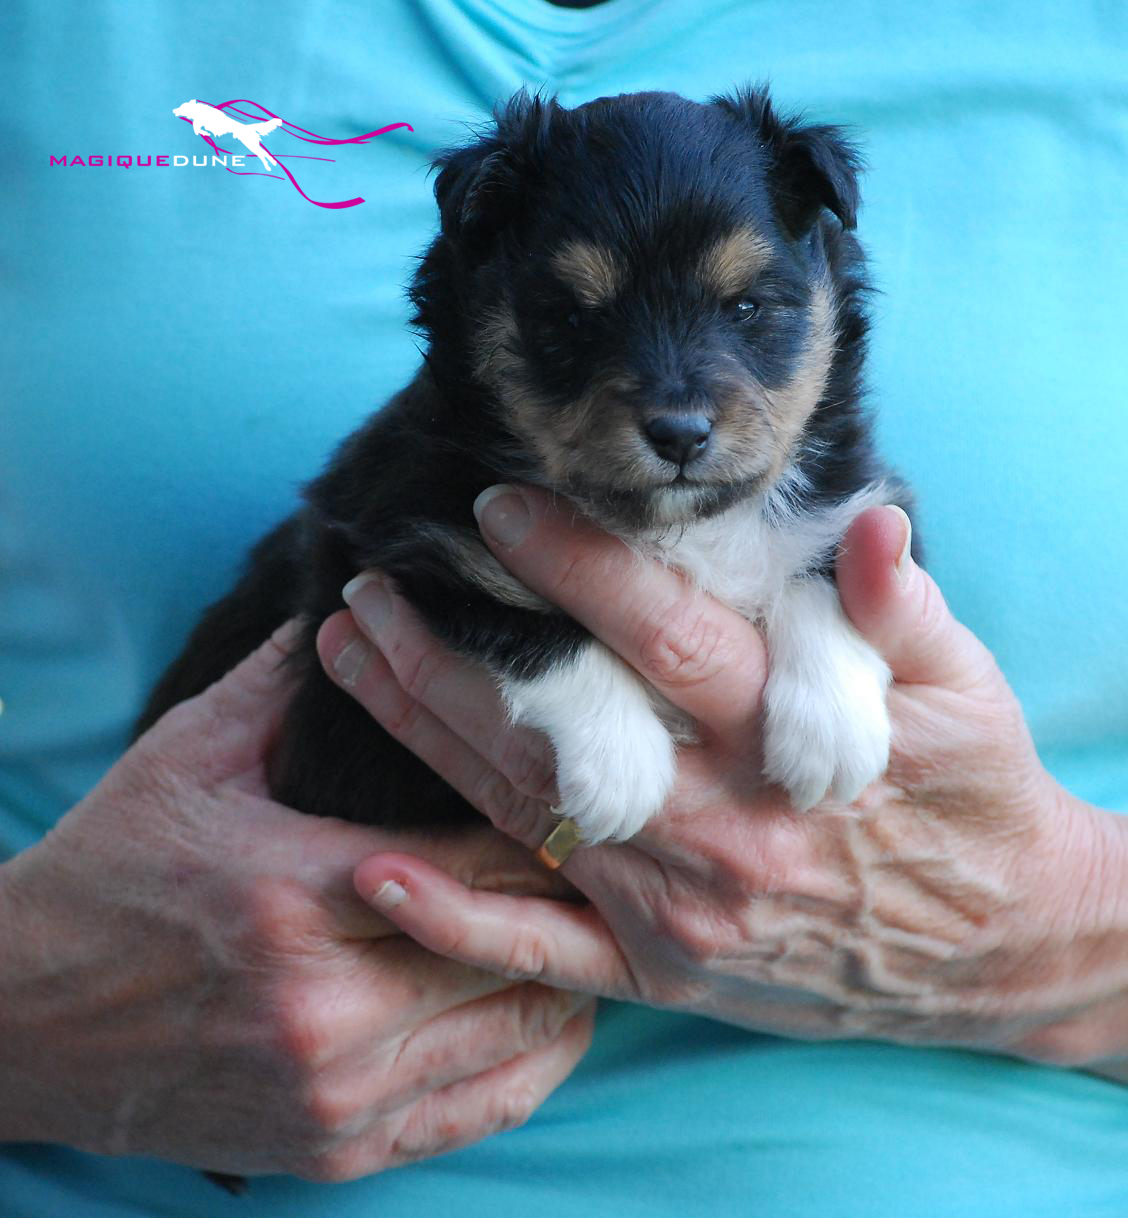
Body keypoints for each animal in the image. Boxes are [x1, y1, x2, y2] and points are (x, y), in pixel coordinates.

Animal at [140, 84, 919, 852]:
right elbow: (536, 626)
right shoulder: (414, 543)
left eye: (747, 306)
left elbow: (822, 566)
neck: (675, 530)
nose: (680, 434)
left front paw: (834, 734)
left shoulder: (856, 495)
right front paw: (619, 770)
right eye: (573, 319)